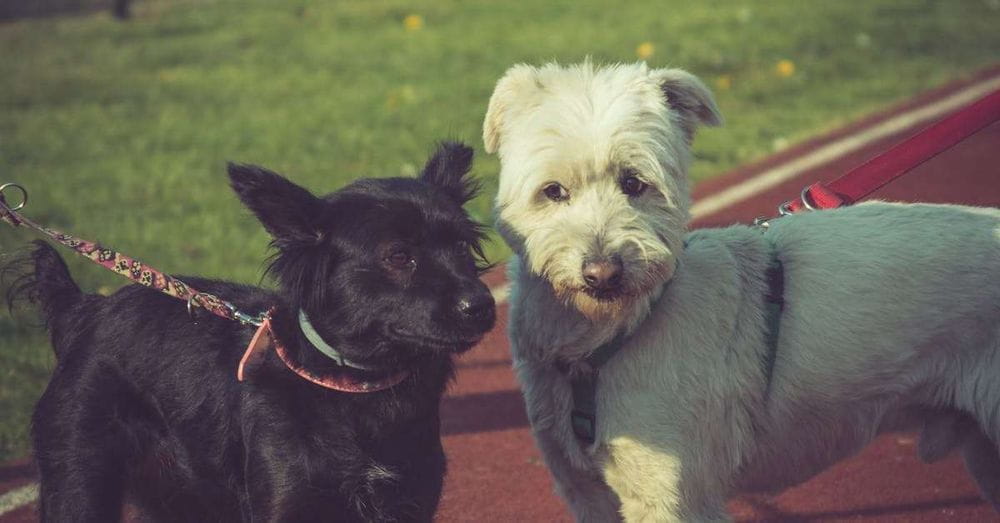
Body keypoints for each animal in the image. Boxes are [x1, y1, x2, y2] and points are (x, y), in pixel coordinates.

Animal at [7, 141, 492, 520]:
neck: (358, 389)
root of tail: (83, 309)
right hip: (78, 482)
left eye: (463, 247)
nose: (483, 307)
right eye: (398, 256)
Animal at [484, 60, 1000, 520]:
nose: (602, 272)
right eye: (553, 191)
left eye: (634, 183)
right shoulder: (586, 492)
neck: (607, 339)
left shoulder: (673, 499)